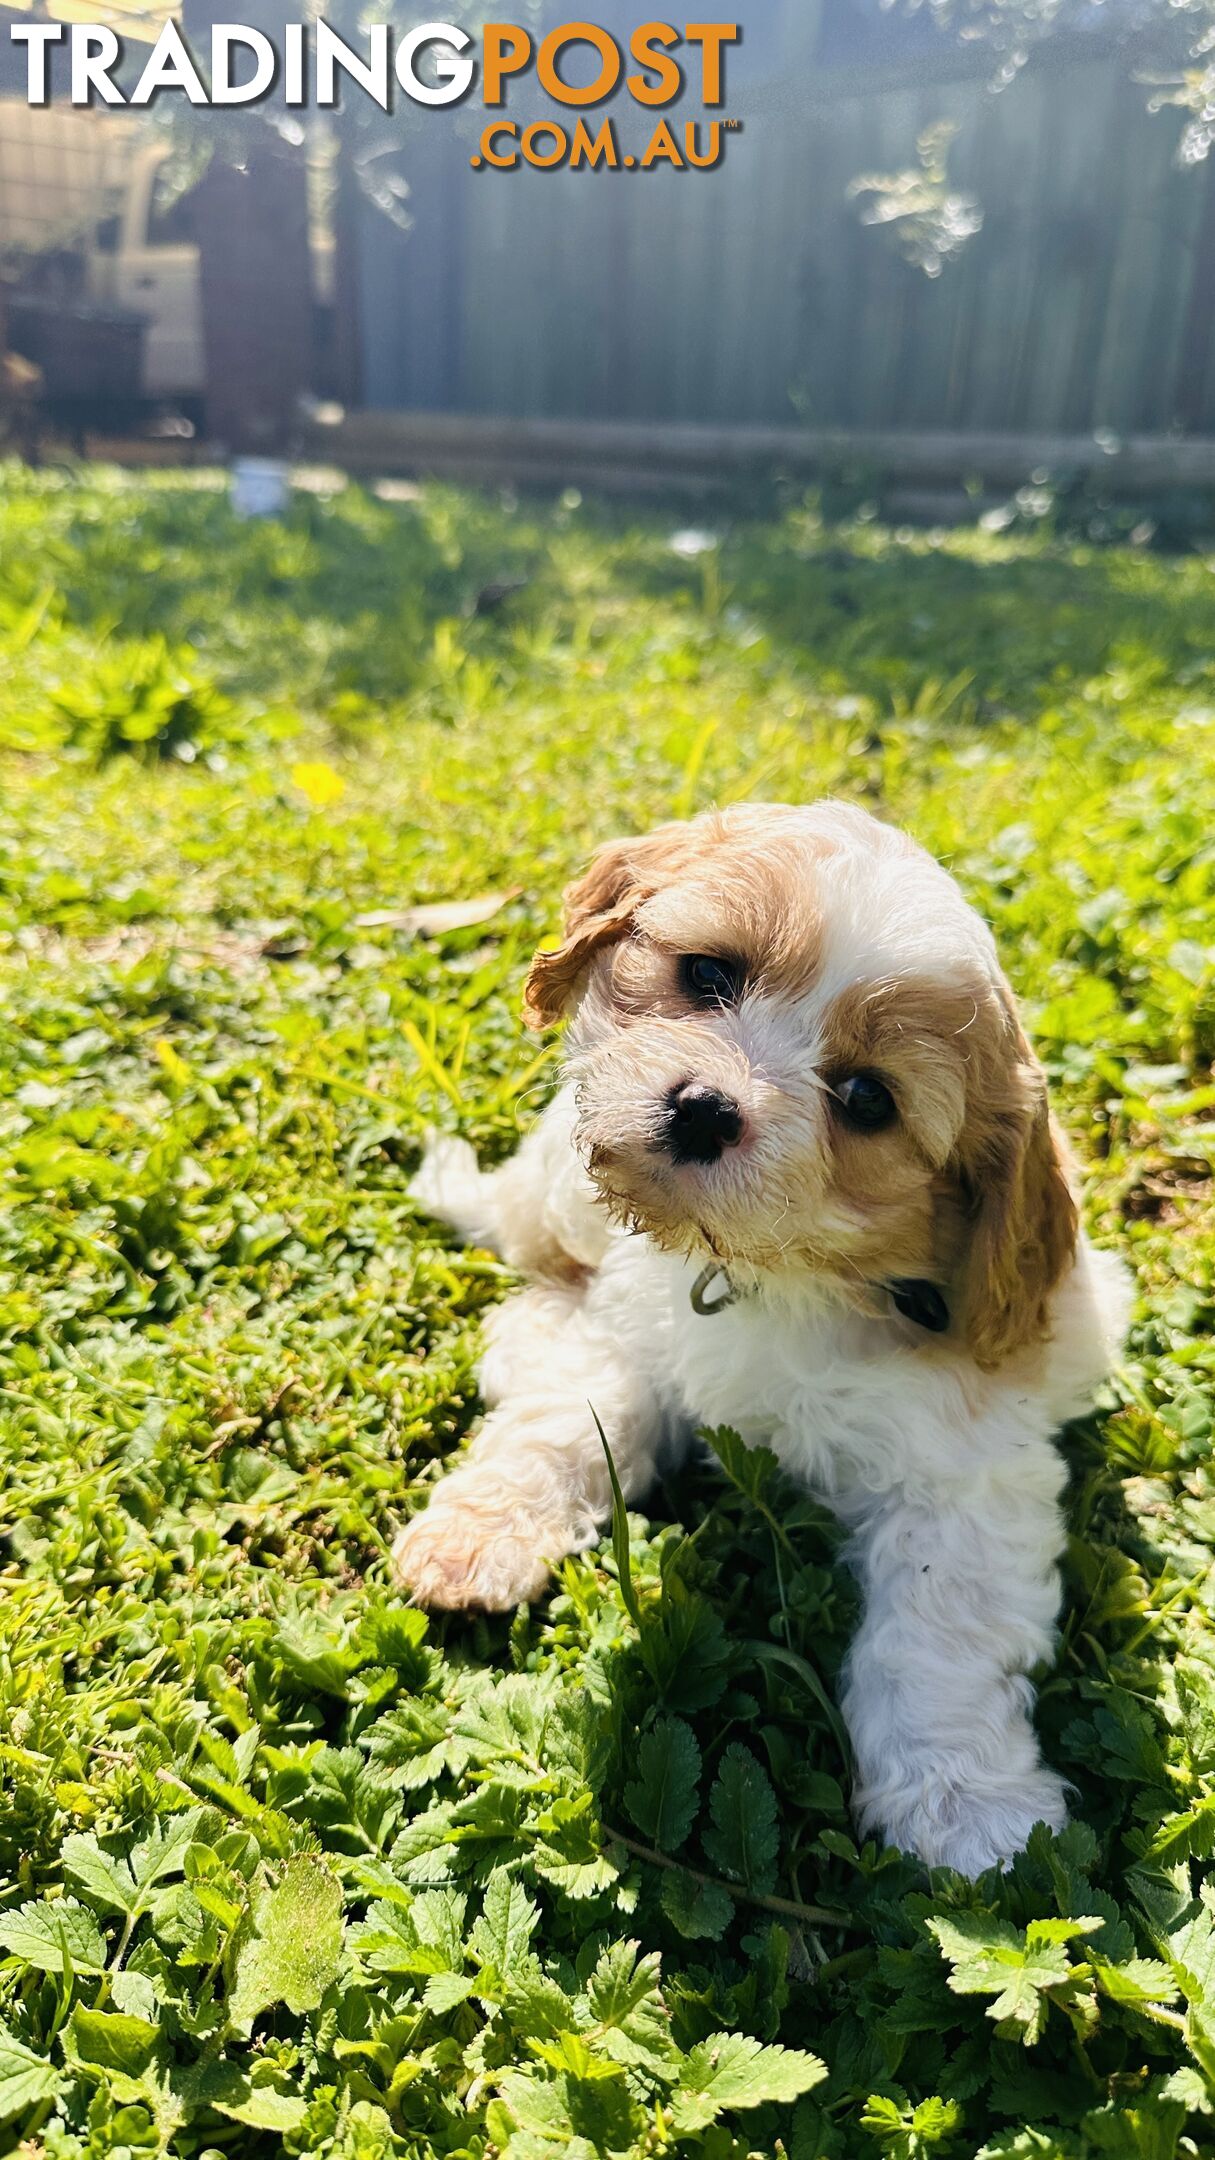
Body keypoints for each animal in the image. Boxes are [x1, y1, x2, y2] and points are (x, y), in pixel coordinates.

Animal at [395, 803, 1124, 1883]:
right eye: (707, 975)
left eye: (866, 1099)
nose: (704, 1110)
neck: (764, 1269)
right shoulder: (620, 1327)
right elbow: (567, 1417)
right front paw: (480, 1535)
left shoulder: (966, 1469)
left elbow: (937, 1629)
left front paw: (966, 1807)